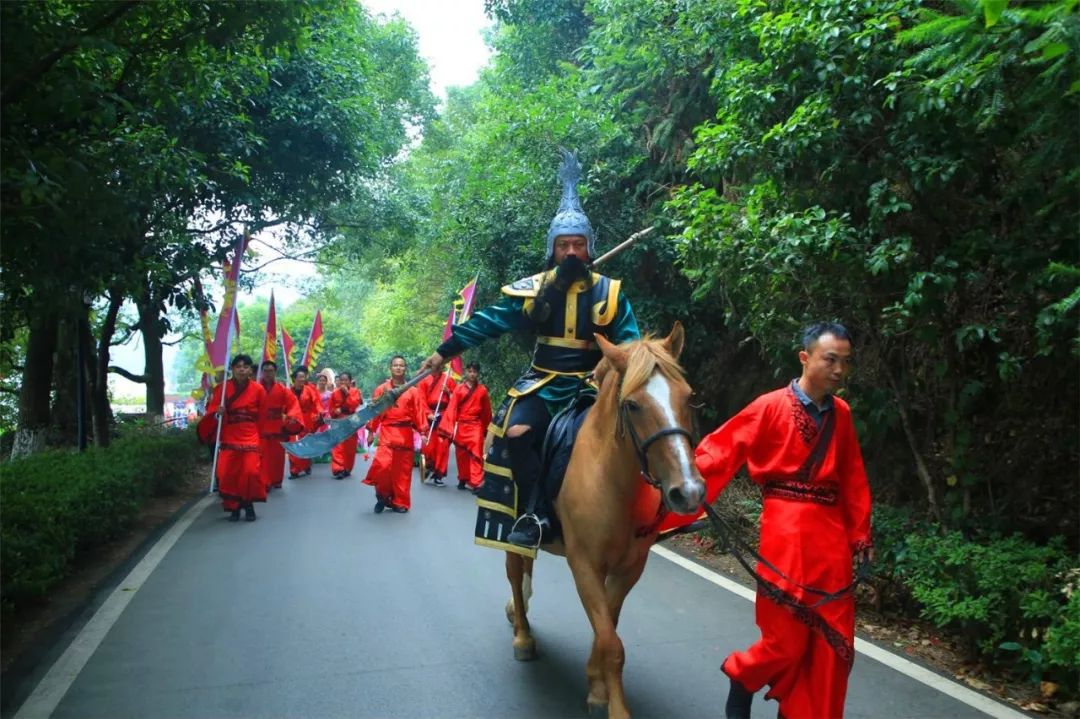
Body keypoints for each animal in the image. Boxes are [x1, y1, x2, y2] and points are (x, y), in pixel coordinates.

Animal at [505, 323, 708, 716]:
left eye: (689, 397)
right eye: (633, 404)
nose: (688, 491)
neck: (613, 482)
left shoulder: (629, 568)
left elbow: (606, 630)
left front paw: (597, 688)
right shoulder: (584, 564)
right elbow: (612, 644)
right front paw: (615, 707)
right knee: (514, 574)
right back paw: (522, 635)